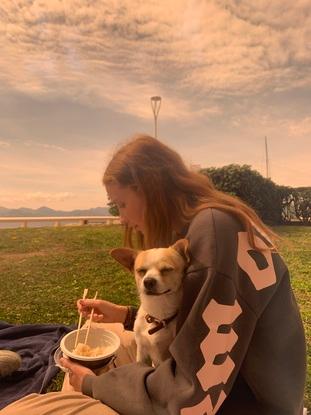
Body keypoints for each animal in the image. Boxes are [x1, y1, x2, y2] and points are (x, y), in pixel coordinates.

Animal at [111, 240, 190, 368]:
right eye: (141, 271)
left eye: (166, 269)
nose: (148, 281)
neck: (156, 315)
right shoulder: (141, 348)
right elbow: (139, 362)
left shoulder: (165, 356)